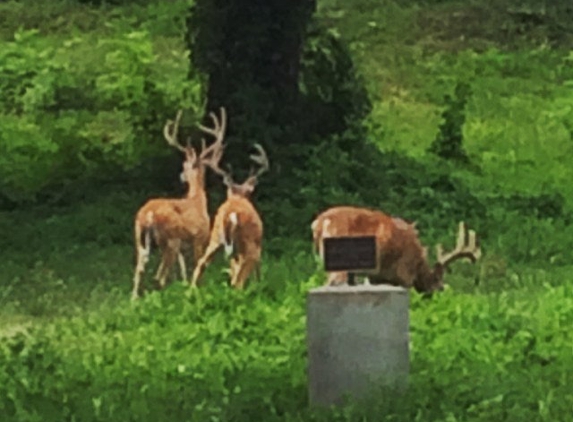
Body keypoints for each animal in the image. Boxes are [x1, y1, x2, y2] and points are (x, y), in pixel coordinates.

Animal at [131, 109, 227, 300]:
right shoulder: (199, 238)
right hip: (169, 239)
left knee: (139, 272)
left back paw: (134, 300)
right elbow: (198, 267)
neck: (197, 200)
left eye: (184, 165)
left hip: (140, 238)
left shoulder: (184, 247)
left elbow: (182, 272)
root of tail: (148, 214)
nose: (181, 175)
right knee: (159, 277)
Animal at [188, 142, 268, 290]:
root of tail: (231, 214)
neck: (238, 196)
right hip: (249, 243)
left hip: (215, 237)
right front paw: (259, 285)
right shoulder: (257, 244)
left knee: (201, 263)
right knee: (239, 281)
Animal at [310, 205, 480, 294]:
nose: (441, 290)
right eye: (439, 286)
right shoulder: (404, 273)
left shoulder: (377, 277)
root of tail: (320, 222)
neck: (418, 265)